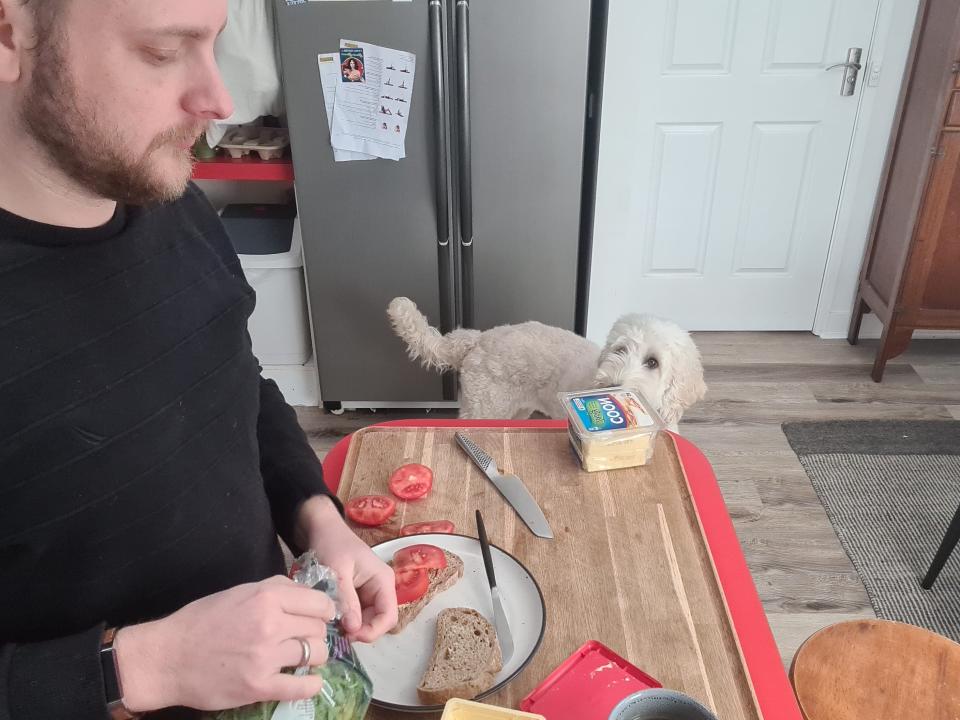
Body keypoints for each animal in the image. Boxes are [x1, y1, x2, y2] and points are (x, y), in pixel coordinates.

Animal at [386, 296, 708, 430]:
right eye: (620, 349)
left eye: (652, 362)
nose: (611, 386)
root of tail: (478, 338)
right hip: (483, 408)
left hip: (515, 411)